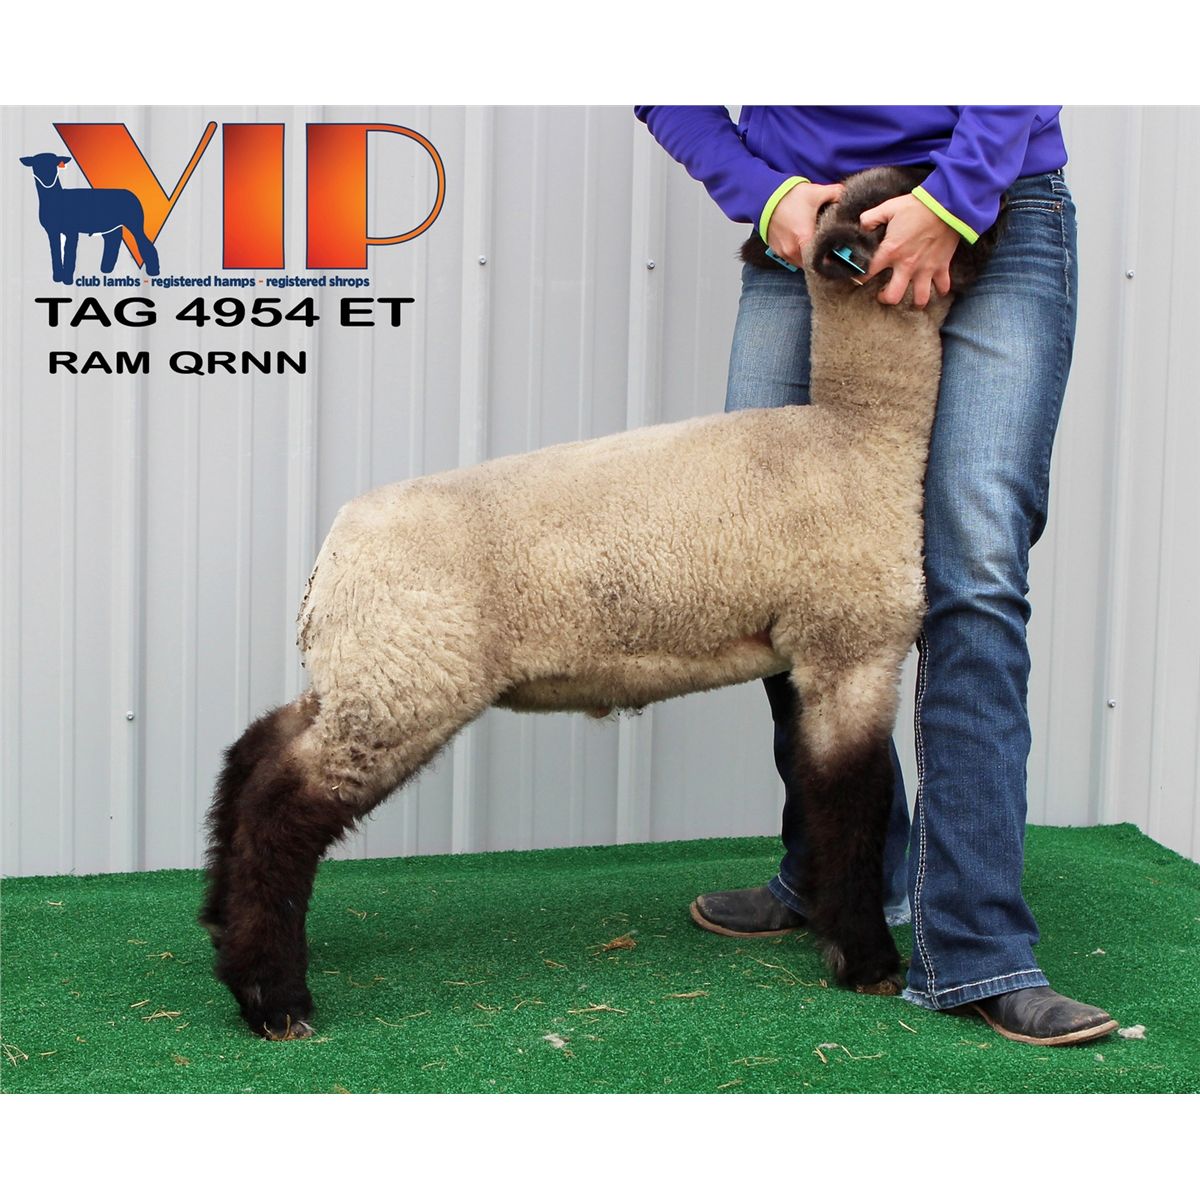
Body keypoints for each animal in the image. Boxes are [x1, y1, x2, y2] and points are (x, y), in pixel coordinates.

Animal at [200, 165, 997, 1040]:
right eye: (915, 186)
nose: (1001, 212)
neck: (858, 435)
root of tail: (331, 555)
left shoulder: (812, 654)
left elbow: (821, 792)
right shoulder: (850, 644)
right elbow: (852, 799)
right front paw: (867, 961)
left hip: (367, 670)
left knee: (256, 752)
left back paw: (221, 929)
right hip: (406, 680)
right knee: (283, 805)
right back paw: (273, 997)